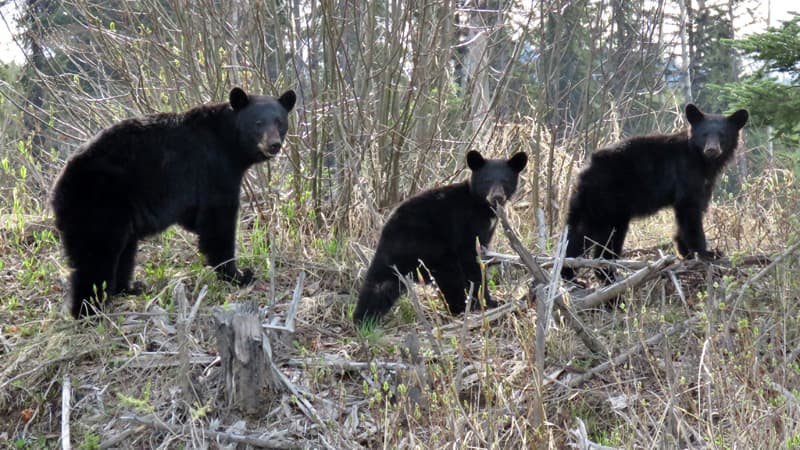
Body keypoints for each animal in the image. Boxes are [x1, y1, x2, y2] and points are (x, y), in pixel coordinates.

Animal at [52, 88, 296, 318]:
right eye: (258, 123)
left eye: (280, 121)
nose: (273, 145)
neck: (228, 142)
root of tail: (58, 186)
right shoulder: (214, 170)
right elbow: (218, 221)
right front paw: (238, 274)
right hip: (98, 203)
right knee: (95, 255)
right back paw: (88, 311)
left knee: (124, 251)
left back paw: (129, 289)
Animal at [354, 150, 528, 324]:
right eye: (487, 181)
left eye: (505, 181)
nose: (497, 197)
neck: (482, 206)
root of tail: (388, 230)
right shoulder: (465, 225)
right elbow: (471, 261)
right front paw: (488, 302)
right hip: (430, 246)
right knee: (450, 276)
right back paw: (461, 308)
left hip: (394, 257)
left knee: (380, 283)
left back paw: (364, 318)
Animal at [560, 103, 748, 284]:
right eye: (704, 134)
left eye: (722, 135)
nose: (711, 150)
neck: (702, 162)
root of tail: (587, 168)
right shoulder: (686, 174)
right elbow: (690, 212)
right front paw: (706, 253)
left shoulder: (705, 183)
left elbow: (691, 212)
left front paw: (685, 252)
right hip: (606, 201)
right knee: (598, 236)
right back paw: (595, 275)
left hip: (595, 204)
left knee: (581, 233)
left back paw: (583, 275)